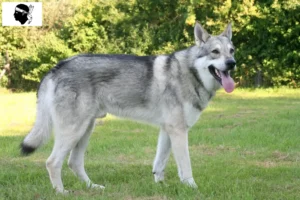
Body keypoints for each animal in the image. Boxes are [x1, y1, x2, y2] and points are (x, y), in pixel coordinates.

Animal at [21, 22, 237, 194]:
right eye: (215, 52)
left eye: (231, 51)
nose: (232, 63)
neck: (191, 73)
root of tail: (57, 67)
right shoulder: (178, 131)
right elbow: (186, 167)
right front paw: (192, 188)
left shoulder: (168, 130)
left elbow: (159, 163)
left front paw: (161, 186)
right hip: (74, 131)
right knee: (52, 162)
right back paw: (61, 192)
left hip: (85, 129)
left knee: (73, 163)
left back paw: (93, 187)